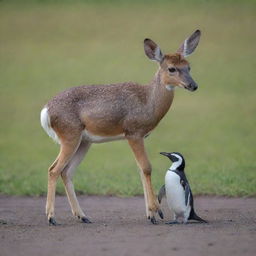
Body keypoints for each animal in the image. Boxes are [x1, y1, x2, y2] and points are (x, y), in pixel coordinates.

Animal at [40, 30, 201, 225]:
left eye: (188, 66)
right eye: (171, 68)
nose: (193, 85)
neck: (147, 101)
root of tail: (46, 111)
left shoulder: (137, 136)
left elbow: (140, 169)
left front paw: (150, 214)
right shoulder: (133, 133)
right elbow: (146, 167)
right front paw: (156, 212)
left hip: (84, 141)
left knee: (67, 172)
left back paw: (83, 216)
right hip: (70, 137)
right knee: (53, 170)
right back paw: (51, 217)